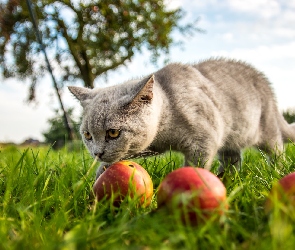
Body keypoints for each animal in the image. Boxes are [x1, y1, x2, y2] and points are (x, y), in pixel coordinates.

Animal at [69, 57, 295, 179]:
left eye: (113, 132)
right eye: (87, 135)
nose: (97, 153)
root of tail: (267, 85)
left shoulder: (204, 139)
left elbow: (196, 166)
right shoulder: (149, 145)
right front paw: (100, 175)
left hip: (266, 127)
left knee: (277, 150)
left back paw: (277, 171)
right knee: (232, 157)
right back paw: (226, 178)